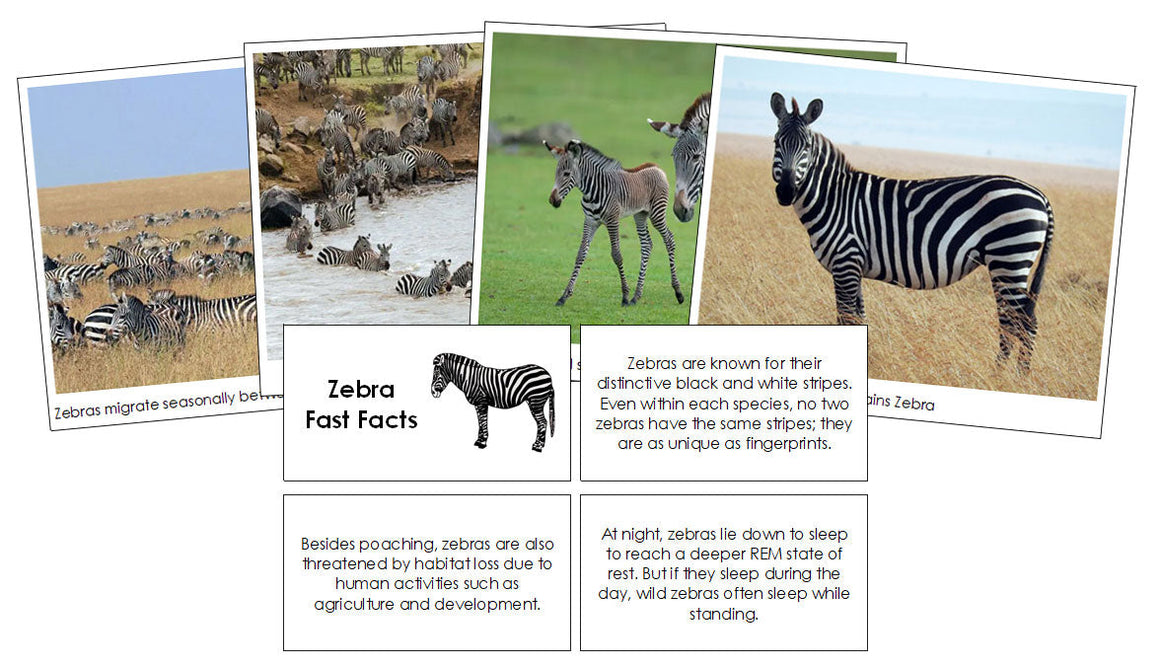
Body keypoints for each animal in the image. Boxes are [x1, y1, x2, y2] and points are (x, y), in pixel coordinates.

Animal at [544, 140, 683, 307]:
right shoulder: (590, 221)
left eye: (566, 174)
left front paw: (624, 296)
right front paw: (564, 296)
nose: (553, 200)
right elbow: (580, 254)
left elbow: (617, 255)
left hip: (657, 213)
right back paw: (636, 296)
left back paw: (678, 292)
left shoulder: (612, 220)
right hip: (640, 215)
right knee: (647, 245)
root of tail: (656, 166)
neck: (591, 192)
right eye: (556, 173)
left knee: (669, 239)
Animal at [768, 93, 1055, 371]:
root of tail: (1040, 195)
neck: (834, 199)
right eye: (775, 142)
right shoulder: (854, 268)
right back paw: (1012, 374)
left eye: (807, 147)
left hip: (1008, 258)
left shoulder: (845, 263)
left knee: (1019, 323)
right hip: (1008, 263)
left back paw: (1008, 376)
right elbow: (859, 319)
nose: (786, 192)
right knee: (1018, 321)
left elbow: (845, 319)